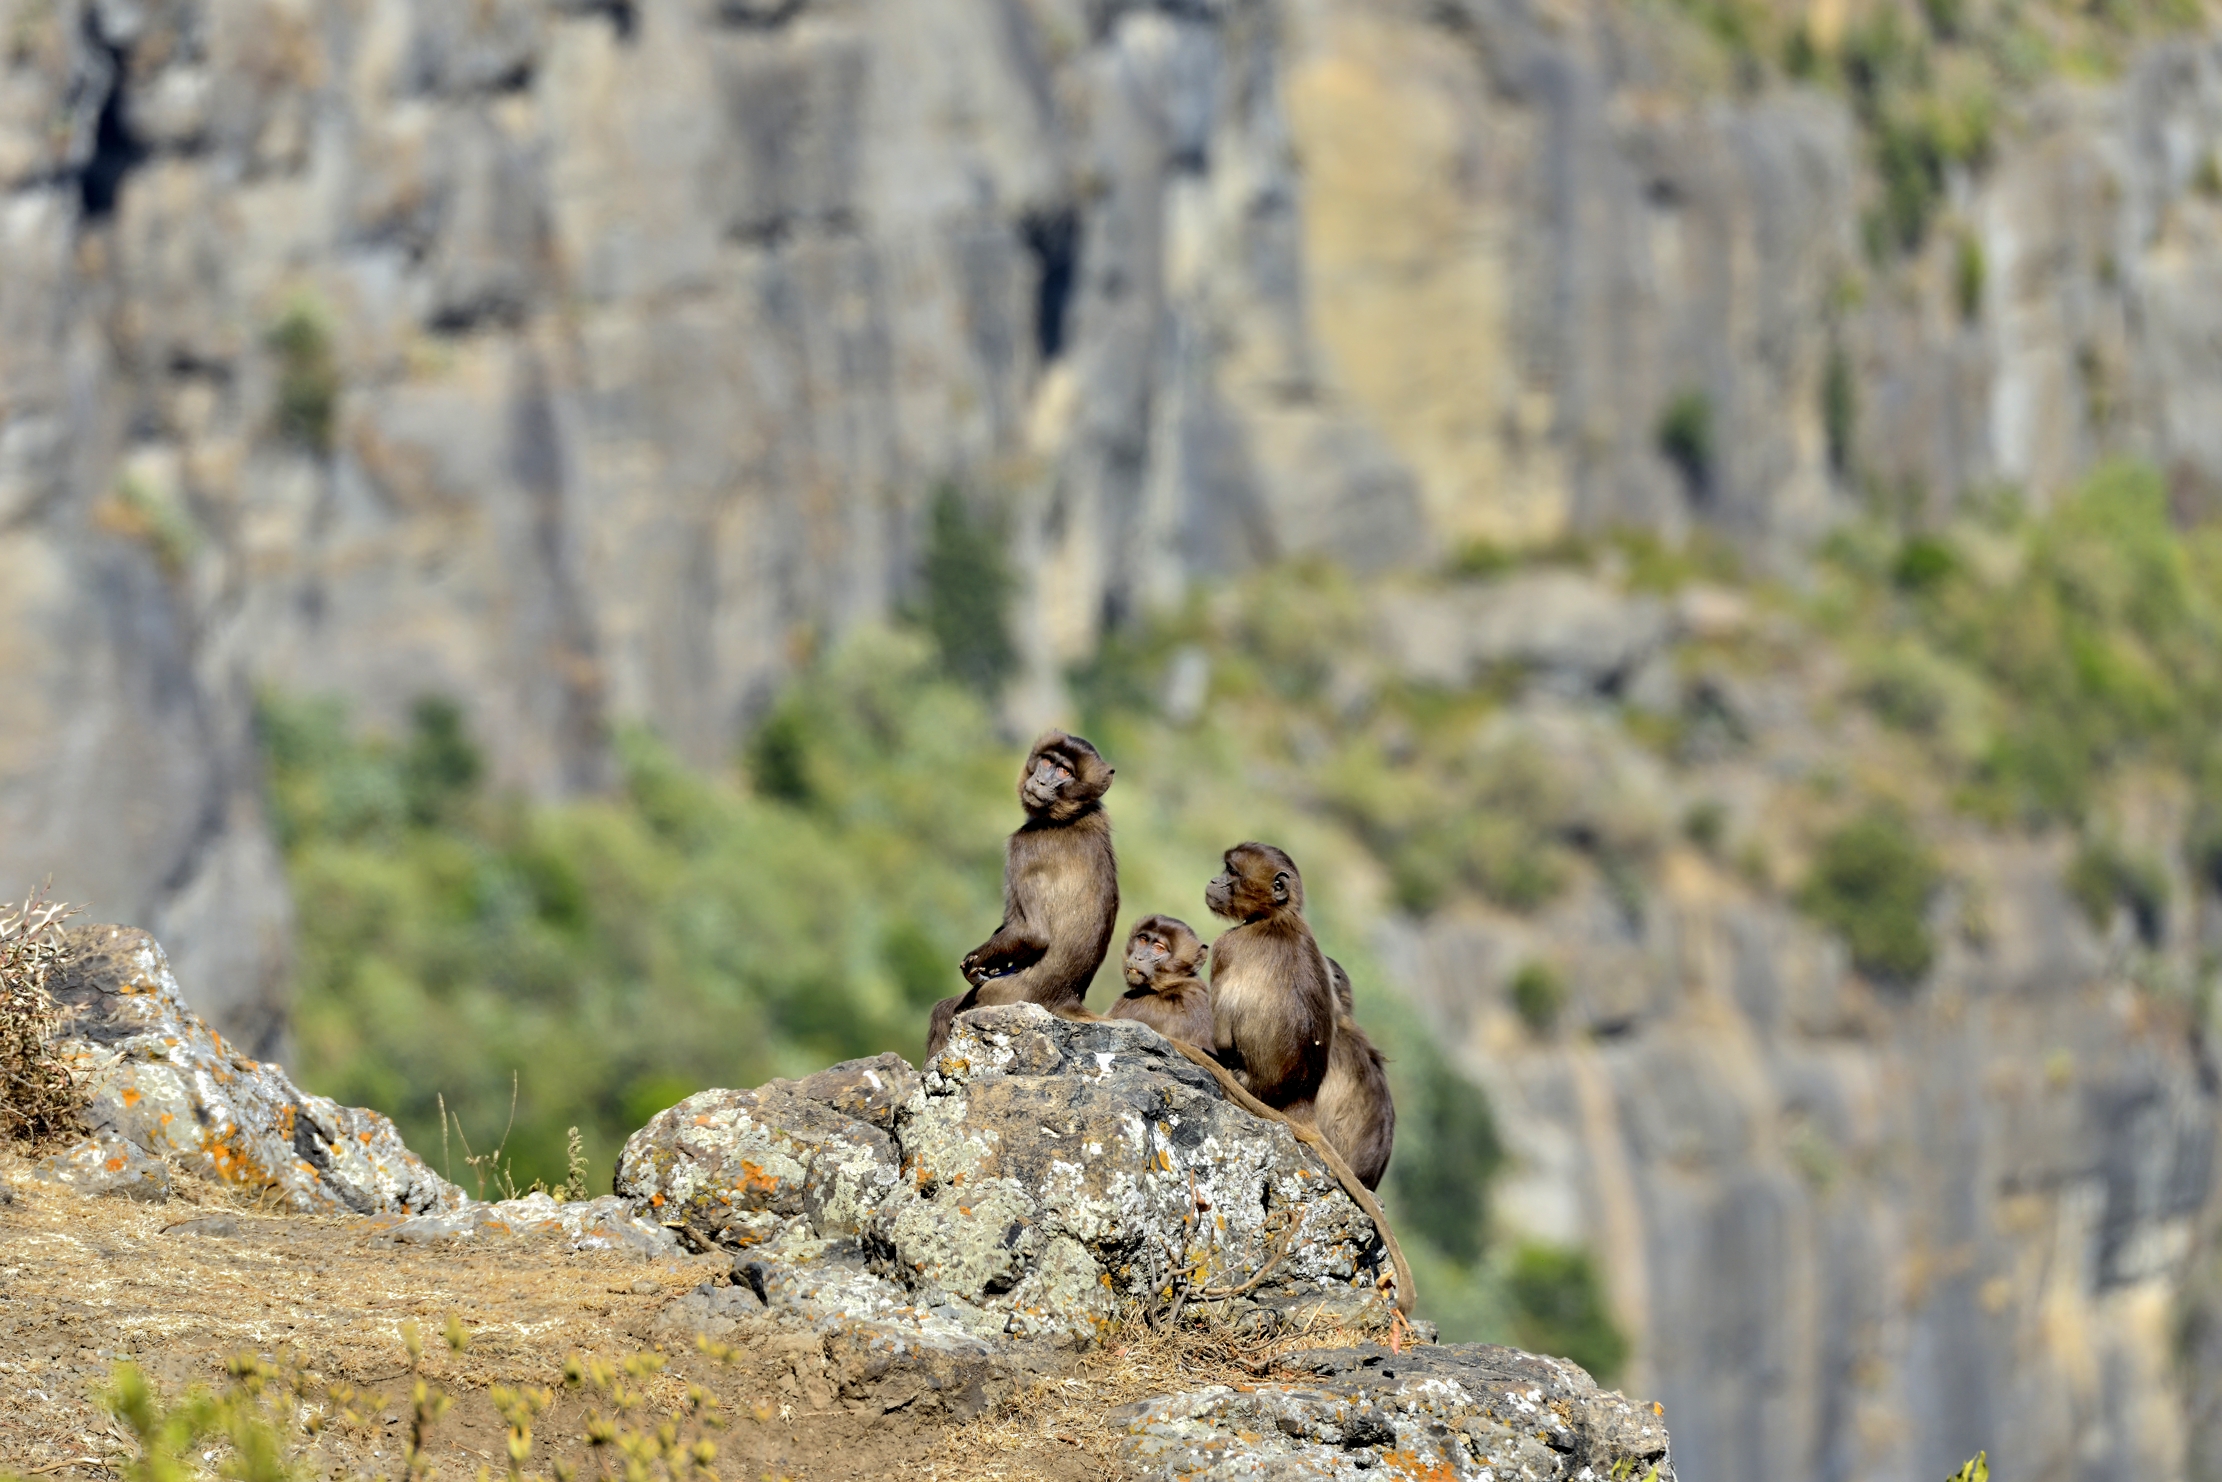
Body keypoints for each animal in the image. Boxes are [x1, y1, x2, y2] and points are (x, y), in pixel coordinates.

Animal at [924, 731, 1118, 1059]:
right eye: (1048, 762)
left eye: (1065, 772)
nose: (1040, 782)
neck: (1071, 816)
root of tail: (1066, 998)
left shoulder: (1024, 845)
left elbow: (1033, 934)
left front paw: (973, 964)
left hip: (1002, 995)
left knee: (947, 1012)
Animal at [1203, 843, 1336, 1122]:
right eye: (1226, 868)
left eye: (1232, 872)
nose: (1213, 881)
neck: (1275, 917)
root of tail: (1300, 1098)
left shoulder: (1225, 946)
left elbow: (1222, 1038)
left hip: (1243, 1084)